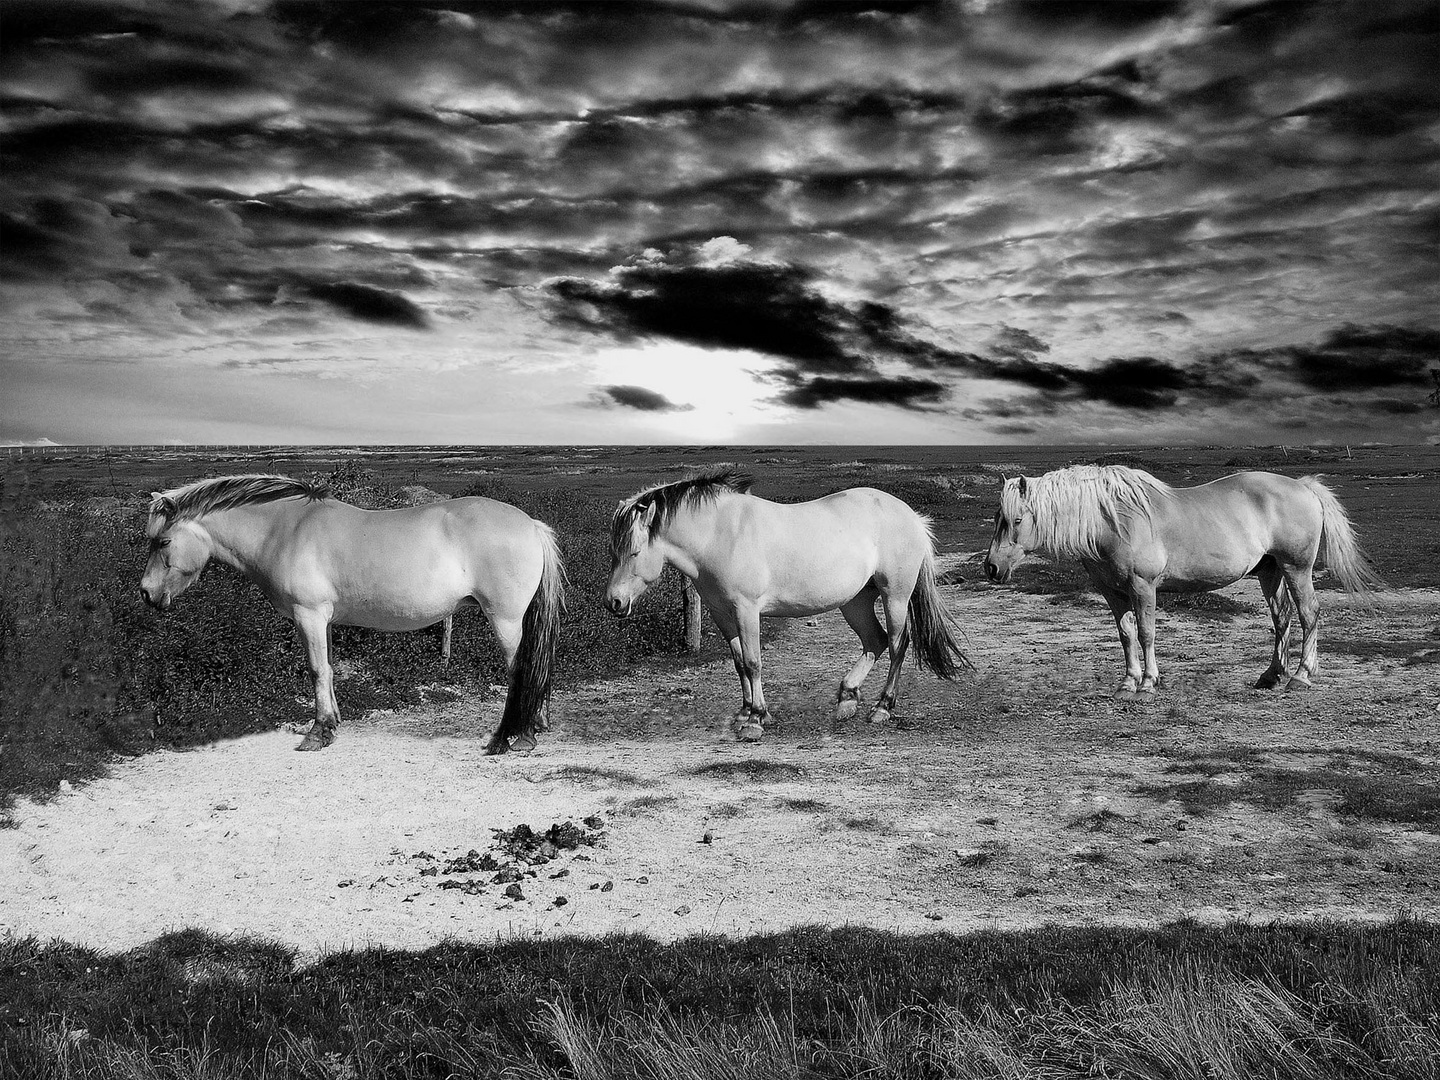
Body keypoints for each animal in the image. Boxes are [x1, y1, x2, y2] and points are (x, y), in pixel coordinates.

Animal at [135, 478, 561, 754]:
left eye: (163, 541)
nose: (146, 593)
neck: (284, 530)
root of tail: (531, 525)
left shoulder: (308, 616)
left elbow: (316, 670)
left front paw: (317, 732)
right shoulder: (323, 621)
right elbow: (329, 669)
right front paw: (332, 723)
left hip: (504, 619)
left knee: (520, 670)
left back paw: (513, 737)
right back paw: (534, 726)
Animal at [601, 469, 973, 743]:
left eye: (634, 552)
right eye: (613, 552)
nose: (614, 602)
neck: (719, 534)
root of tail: (912, 516)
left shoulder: (746, 610)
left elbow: (753, 662)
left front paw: (755, 720)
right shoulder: (722, 614)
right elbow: (739, 663)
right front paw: (745, 712)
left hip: (894, 595)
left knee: (897, 644)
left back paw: (882, 708)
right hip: (855, 602)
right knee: (875, 641)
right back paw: (847, 699)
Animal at [984, 466, 1376, 694]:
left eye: (1016, 520)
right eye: (998, 518)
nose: (991, 568)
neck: (1111, 521)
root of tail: (1303, 486)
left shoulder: (1143, 586)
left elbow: (1146, 633)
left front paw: (1148, 683)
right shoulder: (1112, 591)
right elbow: (1125, 635)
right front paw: (1127, 682)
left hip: (1297, 568)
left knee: (1309, 614)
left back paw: (1301, 675)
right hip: (1271, 571)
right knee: (1283, 619)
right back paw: (1271, 675)